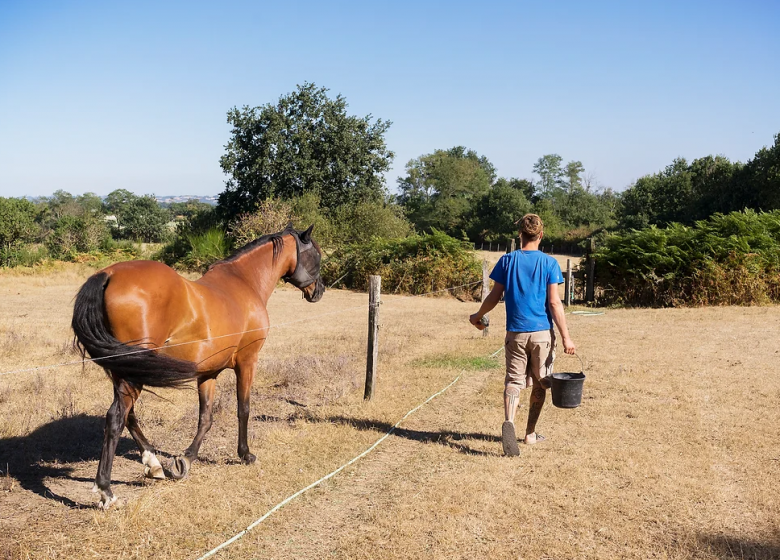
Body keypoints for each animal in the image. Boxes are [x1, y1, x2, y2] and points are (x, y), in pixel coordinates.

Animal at [69, 222, 320, 508]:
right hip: (132, 374)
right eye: (316, 255)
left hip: (125, 370)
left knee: (128, 416)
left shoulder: (208, 373)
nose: (319, 291)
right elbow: (243, 409)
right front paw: (245, 454)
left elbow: (205, 417)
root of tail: (108, 274)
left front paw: (185, 460)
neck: (244, 283)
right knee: (115, 417)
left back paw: (153, 464)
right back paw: (106, 491)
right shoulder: (247, 362)